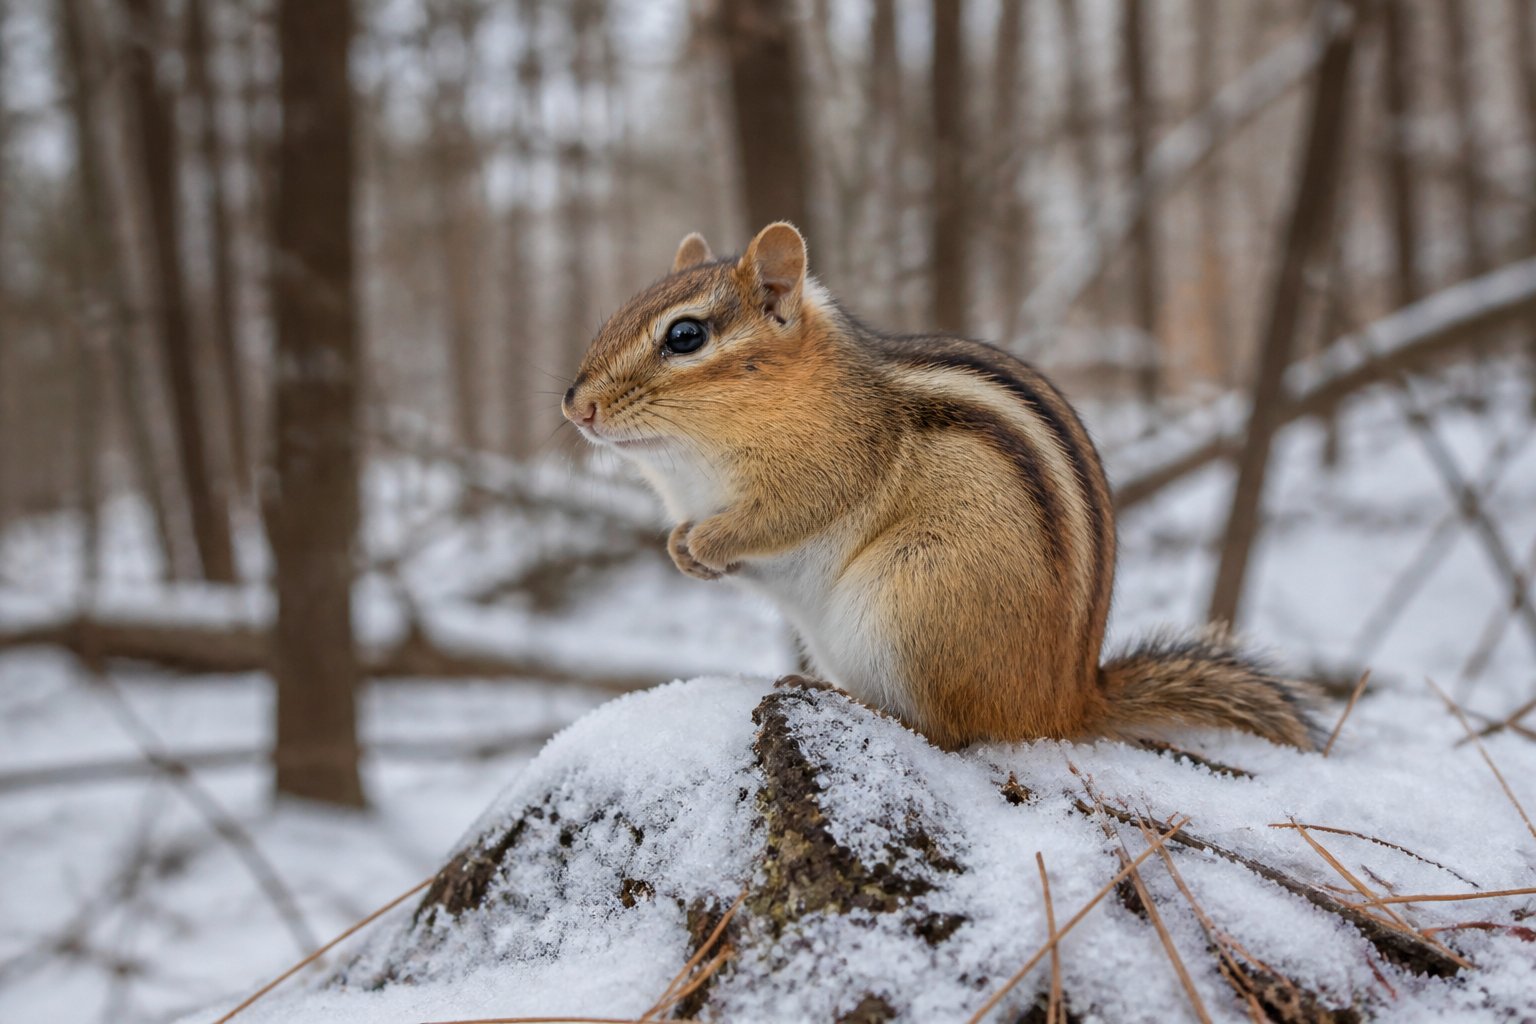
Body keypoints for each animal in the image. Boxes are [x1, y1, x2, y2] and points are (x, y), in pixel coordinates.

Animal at [562, 222, 1320, 751]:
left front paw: (710, 542)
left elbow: (780, 518)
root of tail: (1069, 701)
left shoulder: (834, 467)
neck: (687, 464)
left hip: (914, 599)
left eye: (685, 336)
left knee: (951, 734)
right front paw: (679, 548)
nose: (575, 406)